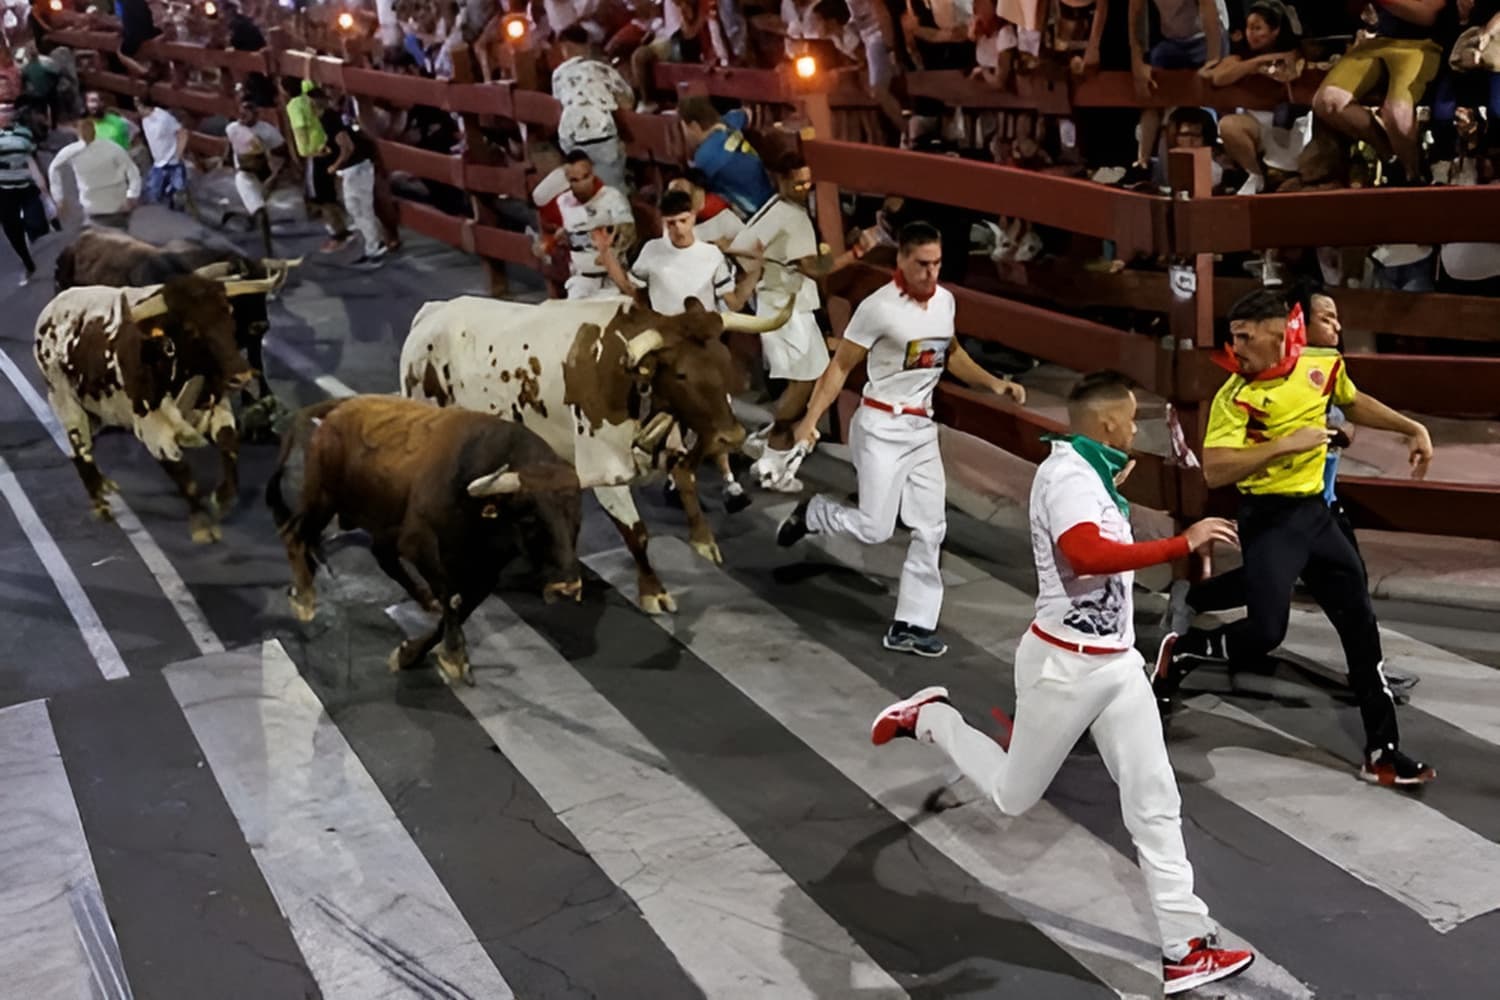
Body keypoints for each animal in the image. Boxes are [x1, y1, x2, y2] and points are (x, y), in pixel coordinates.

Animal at [399, 293, 798, 614]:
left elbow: (686, 477)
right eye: (681, 374)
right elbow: (637, 533)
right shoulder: (606, 470)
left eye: (724, 359)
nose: (732, 436)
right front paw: (652, 592)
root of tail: (431, 313)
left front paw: (703, 540)